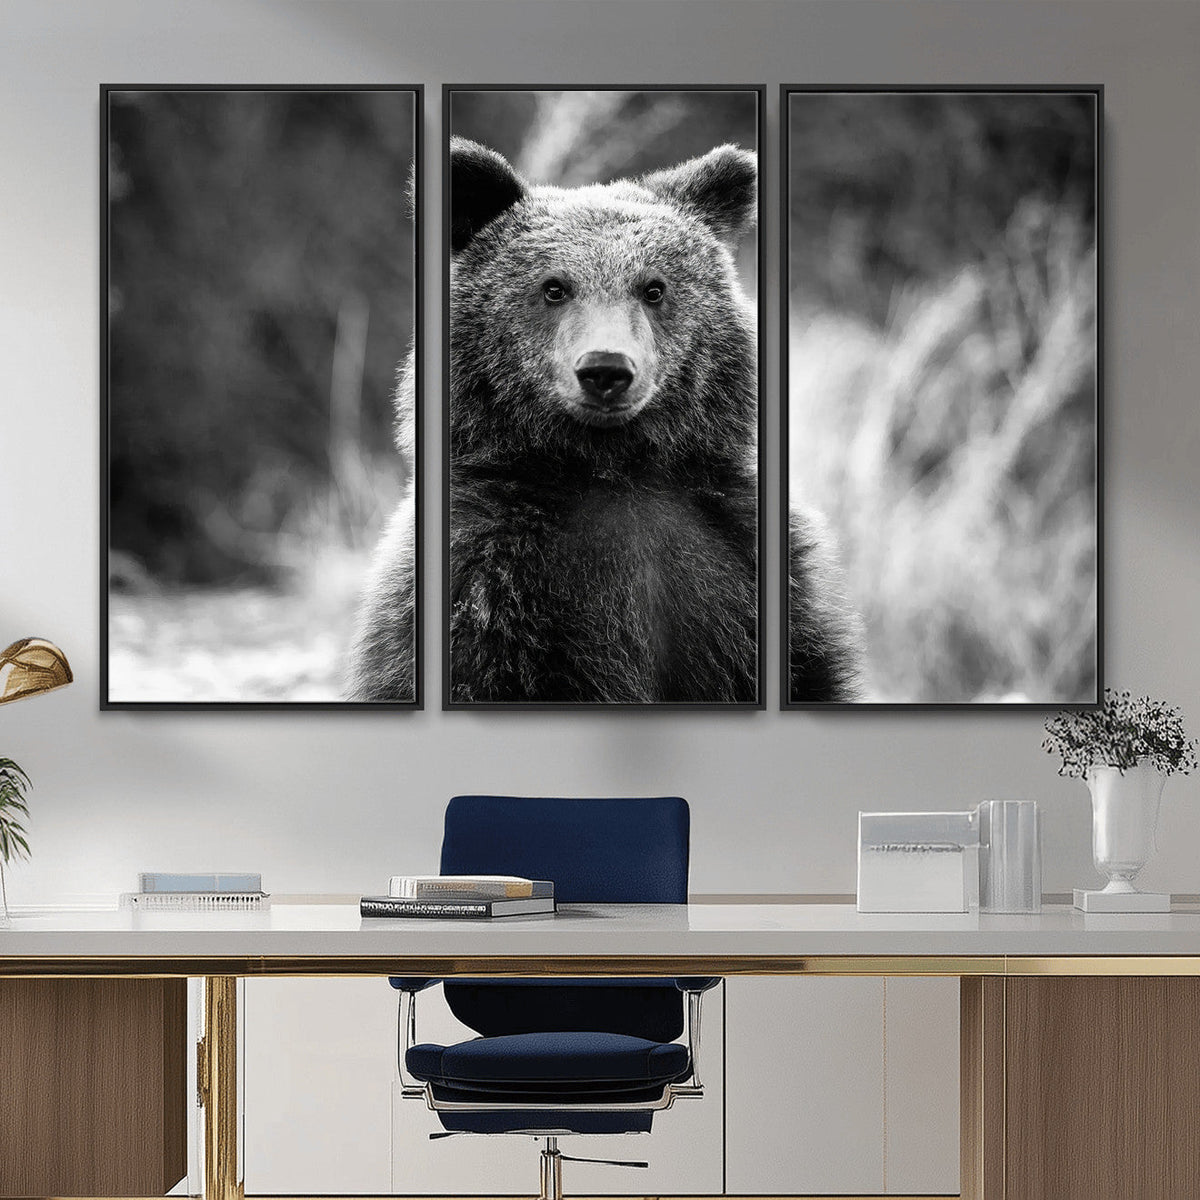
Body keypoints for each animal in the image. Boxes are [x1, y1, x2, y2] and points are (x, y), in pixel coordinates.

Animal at [348, 136, 861, 704]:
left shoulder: (740, 559)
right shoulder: (487, 580)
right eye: (554, 287)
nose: (606, 369)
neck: (610, 467)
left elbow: (808, 668)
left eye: (654, 288)